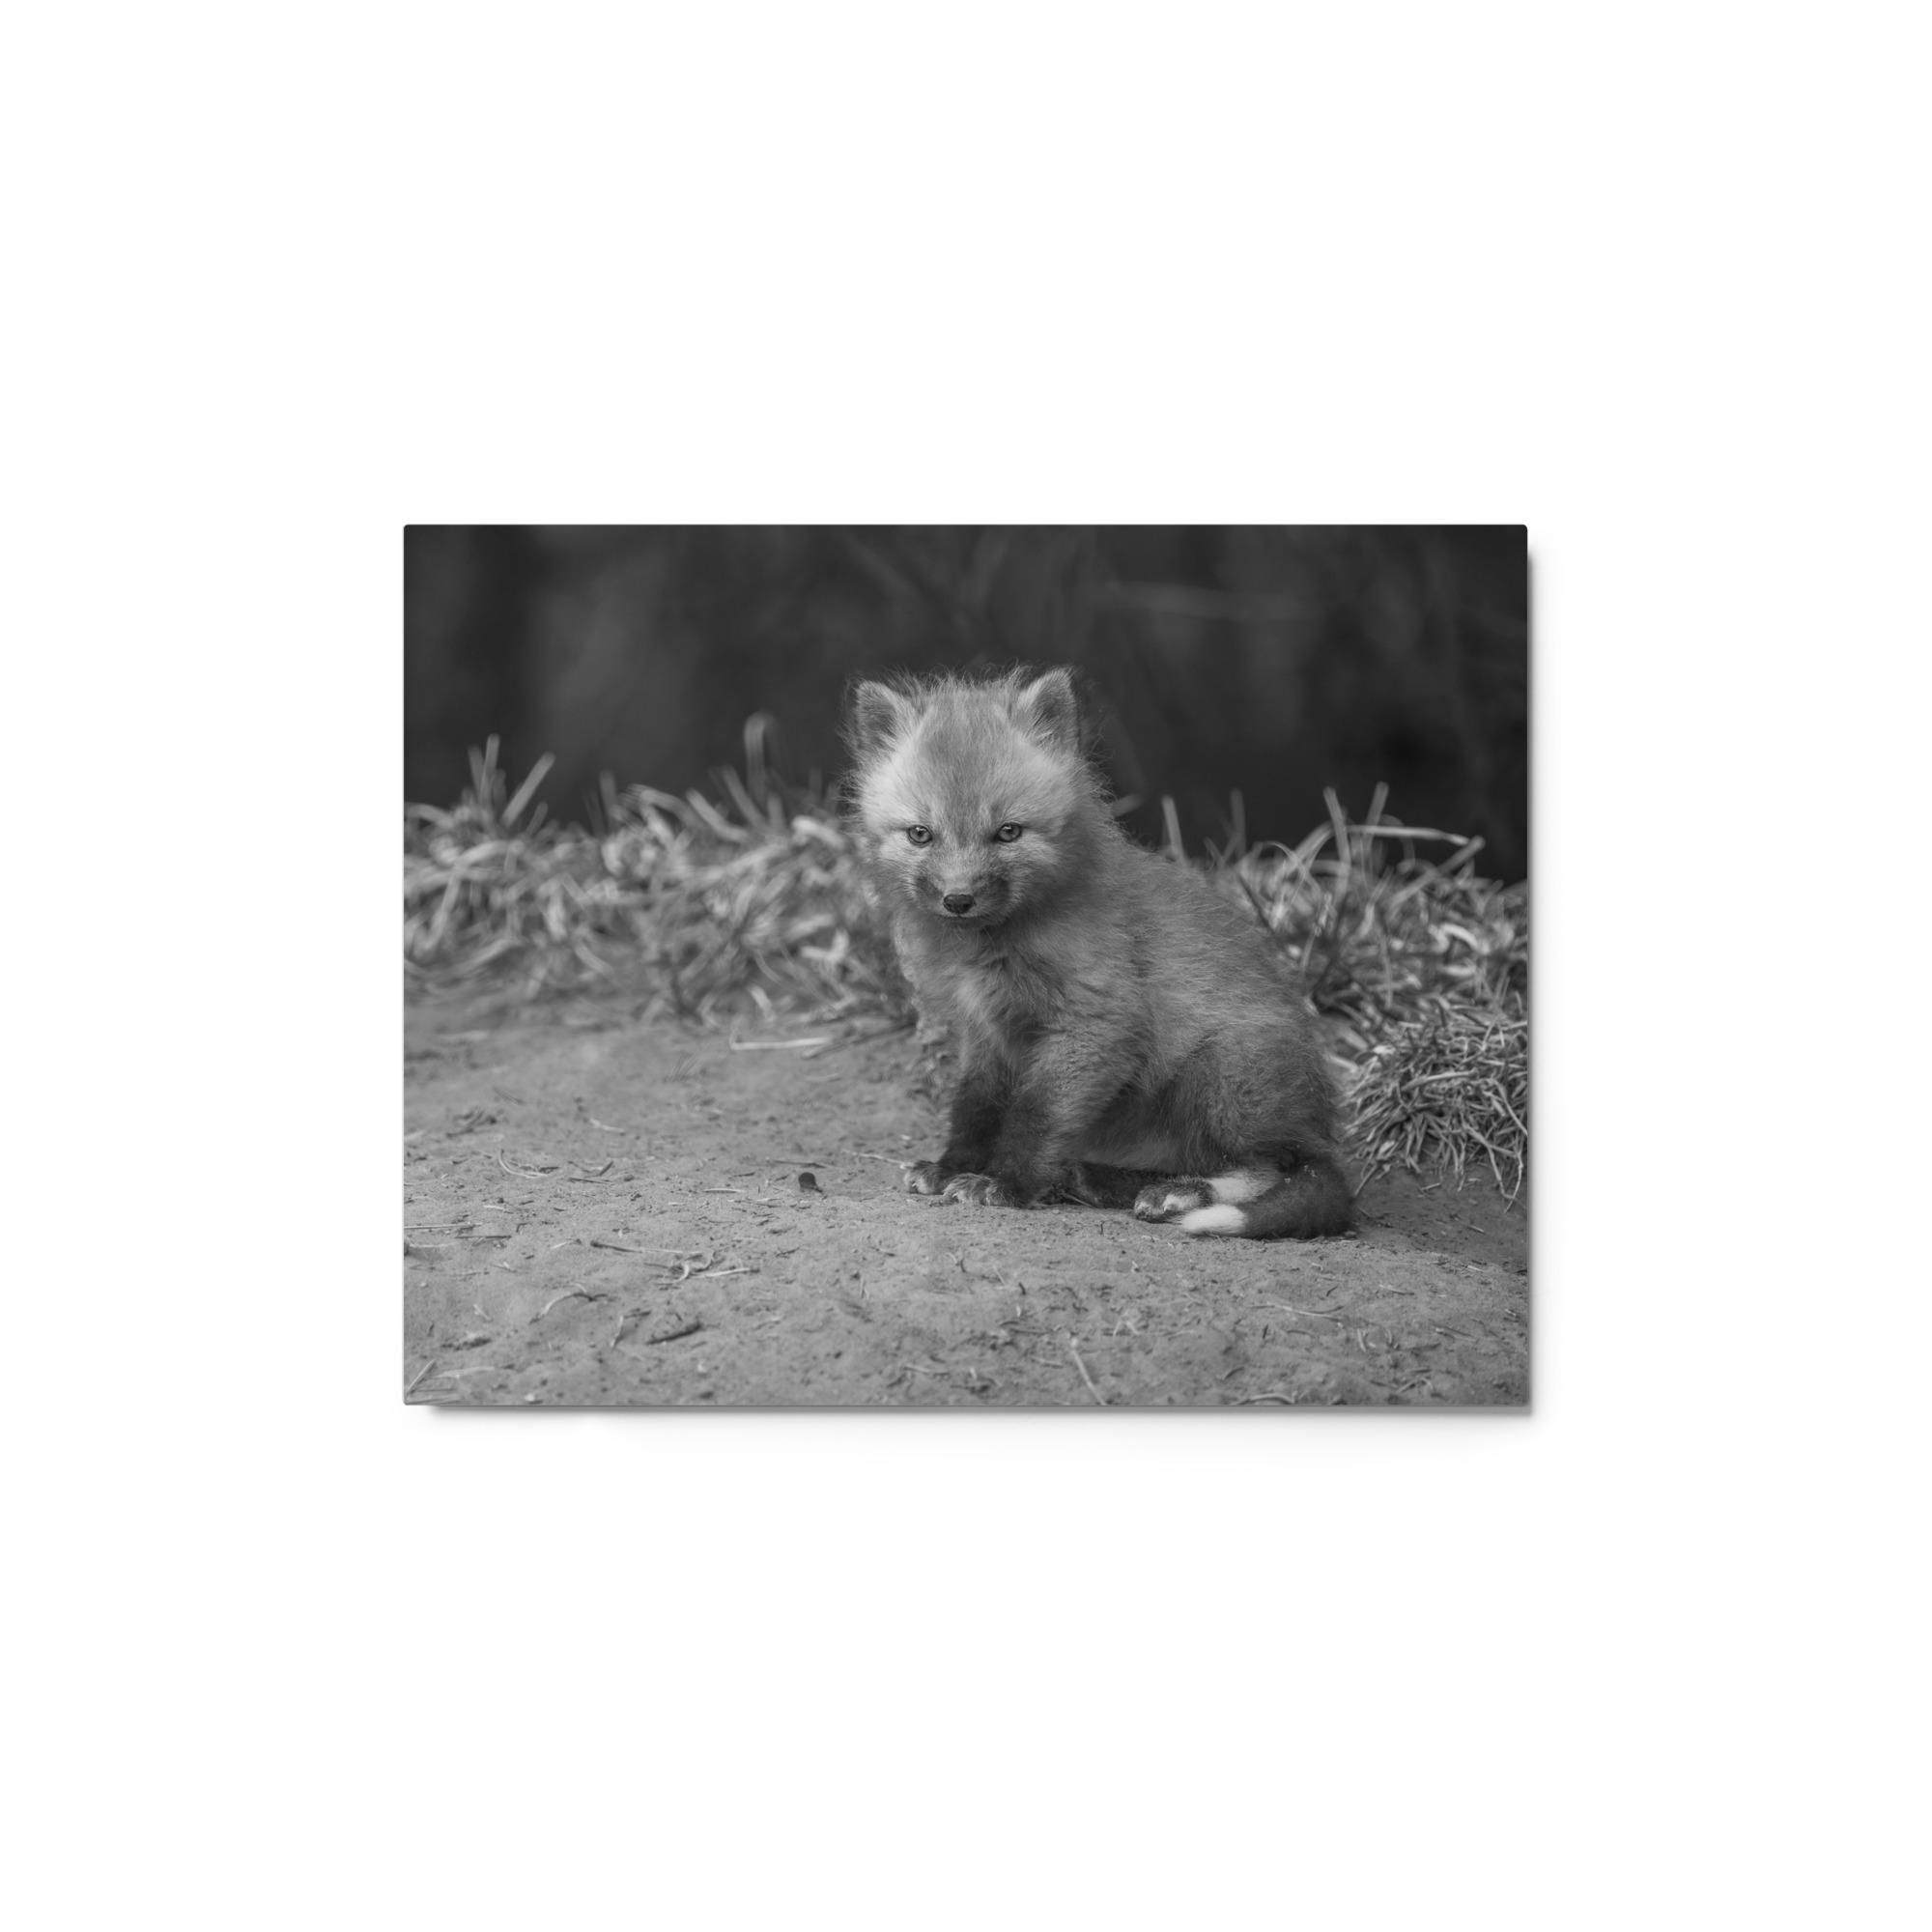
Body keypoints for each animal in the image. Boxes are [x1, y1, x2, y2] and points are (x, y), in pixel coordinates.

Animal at [844, 665, 1351, 1239]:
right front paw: (953, 1166)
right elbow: (975, 1107)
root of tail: (1319, 1125)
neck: (994, 949)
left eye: (1008, 832)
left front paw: (1005, 1183)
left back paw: (1180, 1194)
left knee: (1276, 1168)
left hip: (1222, 1074)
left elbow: (1036, 1115)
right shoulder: (986, 1032)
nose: (958, 899)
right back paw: (1100, 1179)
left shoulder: (1095, 1023)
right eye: (920, 834)